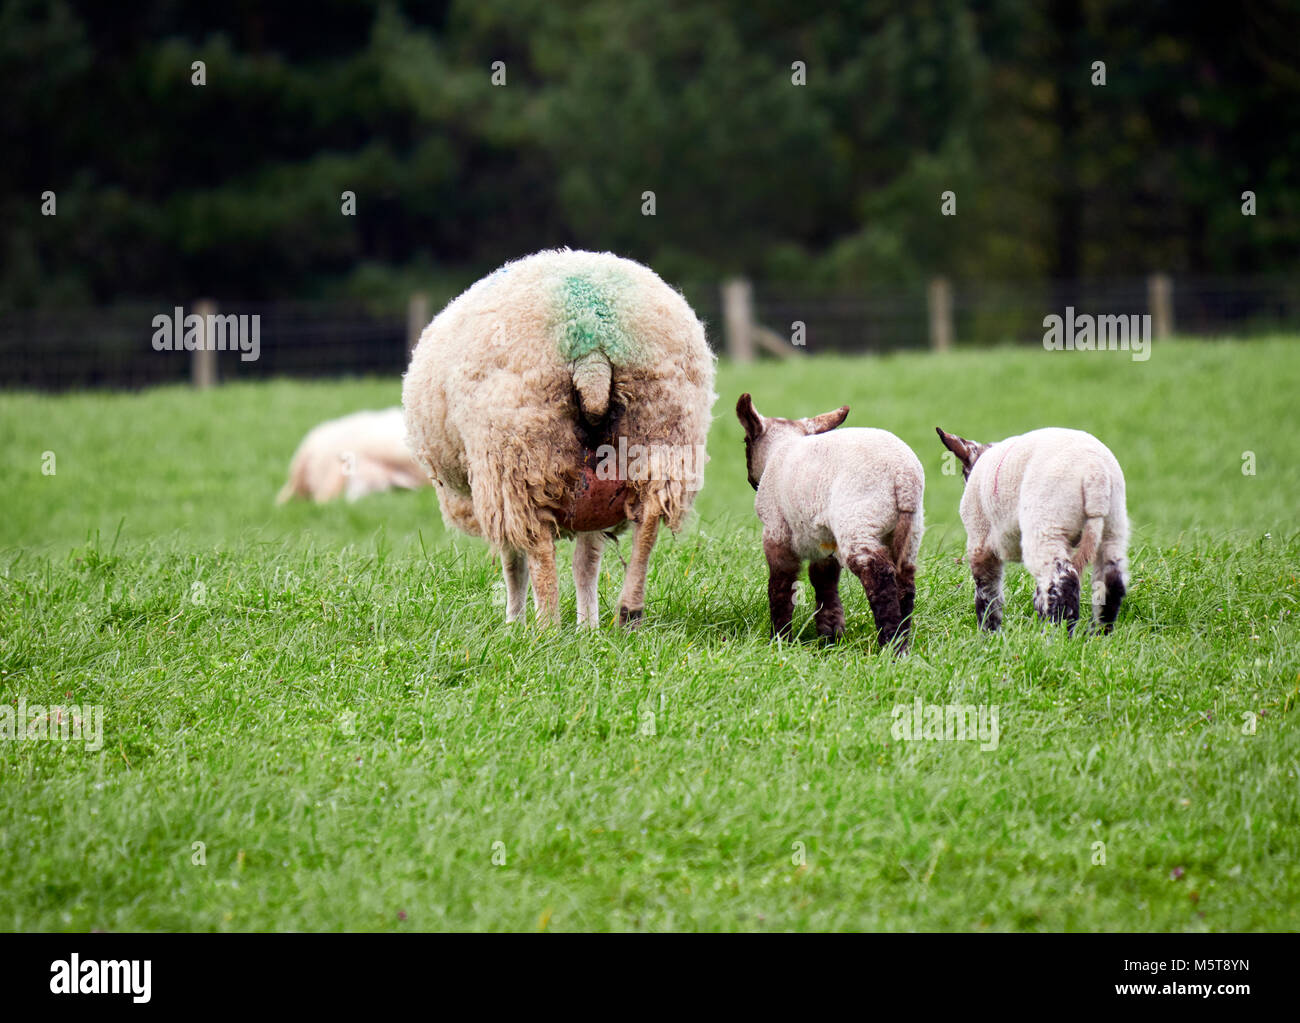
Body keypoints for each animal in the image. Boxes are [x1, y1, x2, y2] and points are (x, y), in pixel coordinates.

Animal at [400, 252, 717, 629]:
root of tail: (591, 334)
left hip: (521, 450)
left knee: (538, 549)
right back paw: (628, 612)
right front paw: (588, 626)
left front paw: (514, 623)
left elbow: (515, 563)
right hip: (662, 432)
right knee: (649, 522)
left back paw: (545, 626)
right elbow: (587, 563)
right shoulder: (594, 499)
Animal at [738, 395, 930, 652]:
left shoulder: (776, 531)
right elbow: (824, 583)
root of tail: (904, 476)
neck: (779, 451)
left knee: (878, 576)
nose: (751, 481)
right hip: (910, 530)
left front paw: (779, 639)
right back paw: (902, 643)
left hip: (858, 521)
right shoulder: (824, 541)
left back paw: (889, 646)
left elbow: (781, 586)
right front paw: (830, 639)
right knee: (905, 584)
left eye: (746, 441)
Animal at [935, 423, 1128, 631]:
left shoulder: (980, 539)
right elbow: (1040, 593)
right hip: (1113, 524)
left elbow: (987, 591)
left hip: (1046, 524)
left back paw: (1056, 634)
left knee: (1063, 579)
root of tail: (1095, 474)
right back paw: (1098, 634)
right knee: (1111, 582)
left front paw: (989, 632)